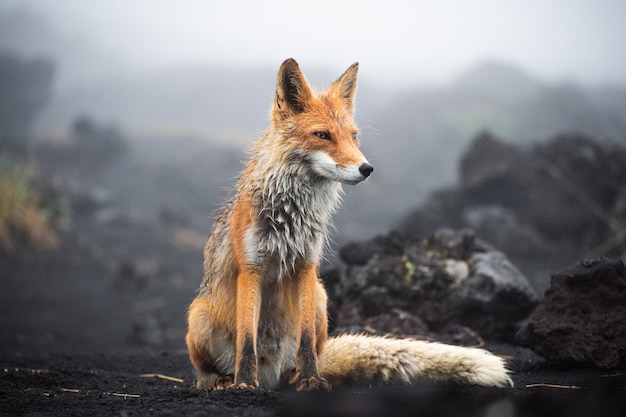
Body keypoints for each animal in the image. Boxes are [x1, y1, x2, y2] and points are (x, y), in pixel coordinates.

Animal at [184, 58, 508, 390]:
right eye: (322, 135)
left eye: (353, 136)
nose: (367, 168)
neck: (291, 217)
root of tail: (270, 372)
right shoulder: (252, 269)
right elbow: (246, 341)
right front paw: (244, 384)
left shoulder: (307, 266)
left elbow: (305, 341)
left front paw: (311, 380)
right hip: (199, 316)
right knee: (205, 372)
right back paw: (224, 380)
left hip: (320, 298)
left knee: (307, 353)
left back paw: (295, 376)